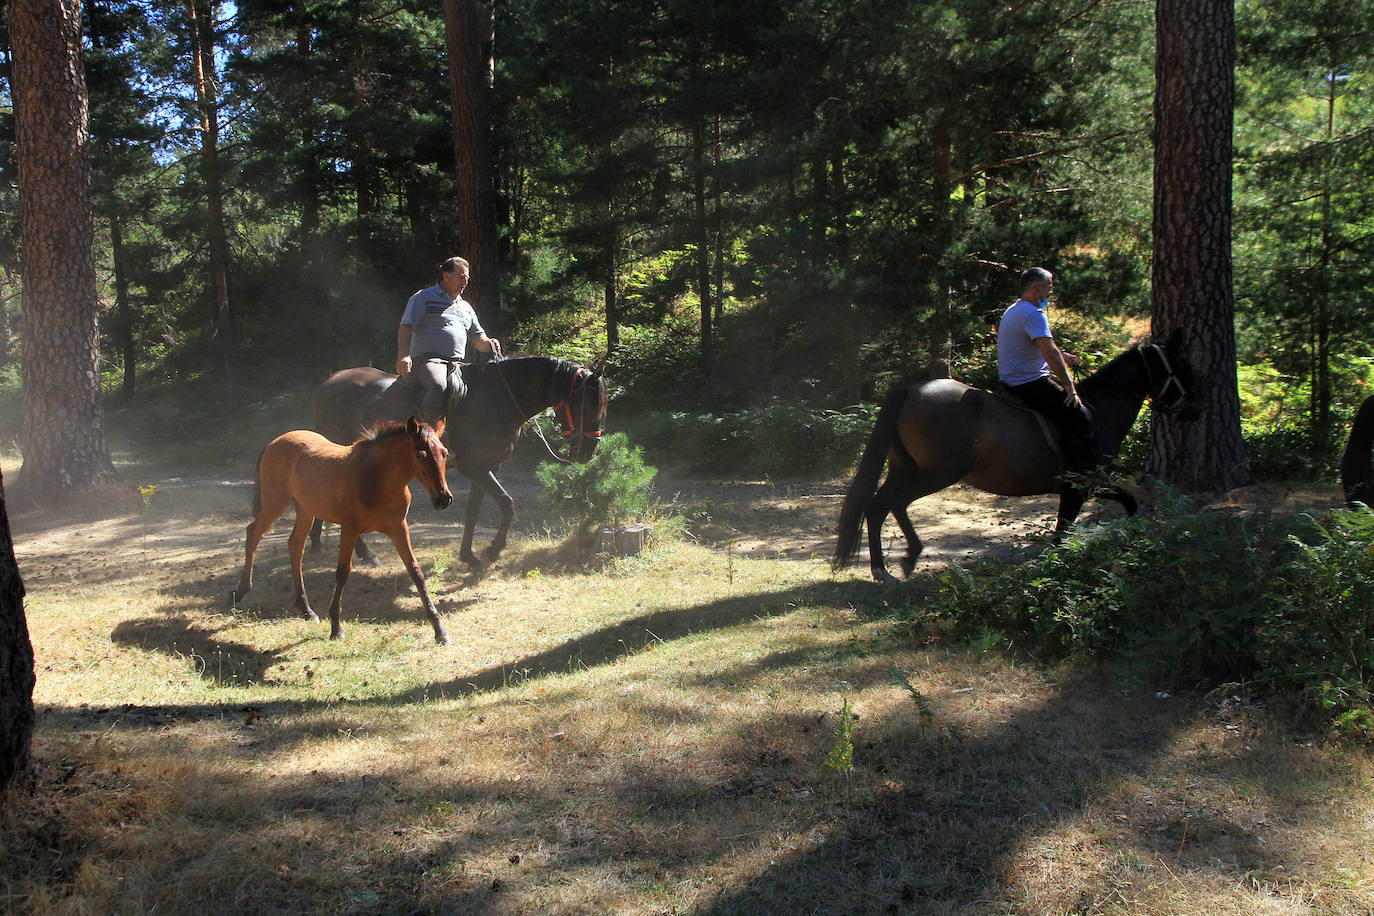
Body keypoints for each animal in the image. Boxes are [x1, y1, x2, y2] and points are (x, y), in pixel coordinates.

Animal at [233, 417, 453, 642]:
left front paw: (440, 630)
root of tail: (273, 443)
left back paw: (306, 609)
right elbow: (342, 572)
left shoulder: (399, 528)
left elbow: (415, 571)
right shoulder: (350, 529)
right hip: (275, 502)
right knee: (253, 533)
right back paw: (241, 591)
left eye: (444, 453)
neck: (376, 478)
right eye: (420, 455)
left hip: (305, 510)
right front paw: (336, 627)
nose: (443, 499)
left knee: (295, 545)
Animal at [316, 357, 607, 574]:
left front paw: (470, 557)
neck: (497, 399)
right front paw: (492, 550)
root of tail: (328, 383)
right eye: (587, 405)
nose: (587, 451)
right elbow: (507, 503)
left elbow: (474, 510)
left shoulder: (488, 466)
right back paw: (359, 552)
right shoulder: (473, 466)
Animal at [829, 333, 1198, 585]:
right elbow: (1066, 532)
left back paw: (886, 567)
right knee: (889, 503)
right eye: (1179, 367)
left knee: (879, 506)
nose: (1191, 410)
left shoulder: (1087, 485)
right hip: (937, 474)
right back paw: (900, 561)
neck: (1099, 410)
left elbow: (1123, 505)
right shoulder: (1080, 486)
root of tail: (911, 389)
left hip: (906, 468)